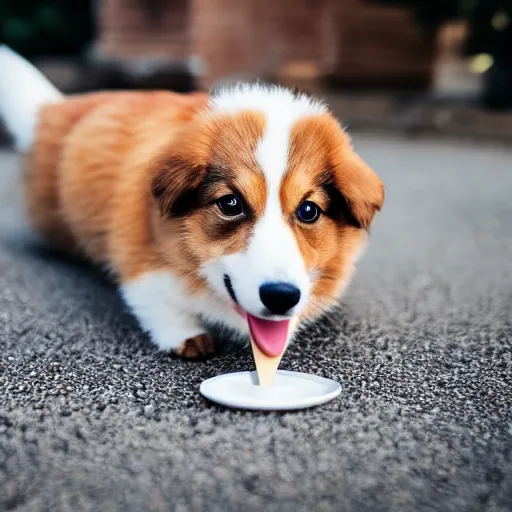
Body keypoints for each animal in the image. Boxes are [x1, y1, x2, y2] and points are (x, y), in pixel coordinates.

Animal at [0, 47, 384, 360]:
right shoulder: (139, 257)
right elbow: (157, 300)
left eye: (308, 210)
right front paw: (186, 336)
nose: (280, 296)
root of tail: (52, 112)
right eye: (230, 204)